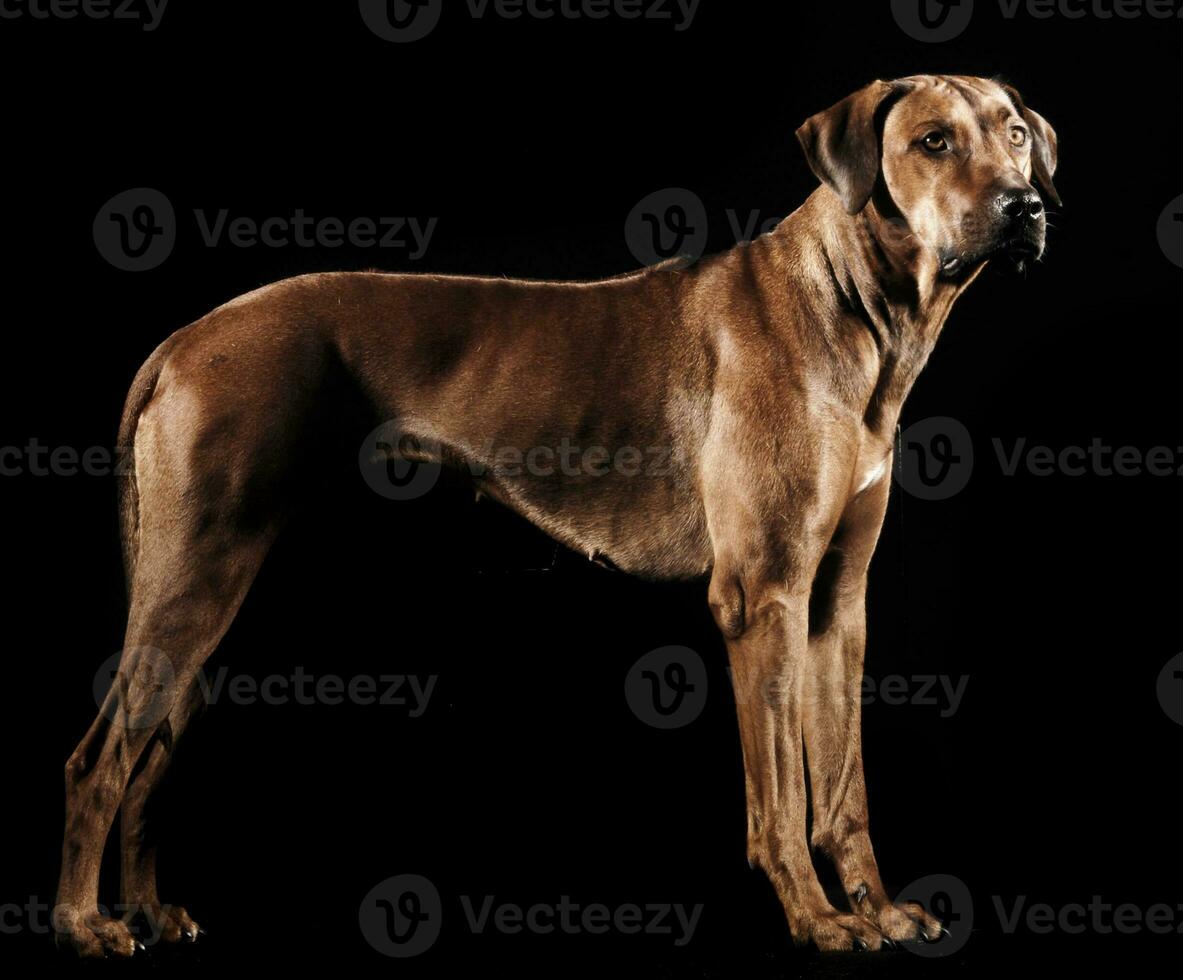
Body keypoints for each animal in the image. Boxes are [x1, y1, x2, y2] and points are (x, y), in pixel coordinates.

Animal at [53, 74, 1064, 956]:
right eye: (932, 142)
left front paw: (877, 909)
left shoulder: (835, 603)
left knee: (148, 760)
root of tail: (180, 340)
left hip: (206, 589)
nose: (1025, 206)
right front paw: (816, 921)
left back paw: (149, 913)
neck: (853, 305)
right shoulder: (762, 595)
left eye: (1013, 133)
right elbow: (777, 797)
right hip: (197, 580)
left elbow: (842, 789)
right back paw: (83, 924)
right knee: (98, 760)